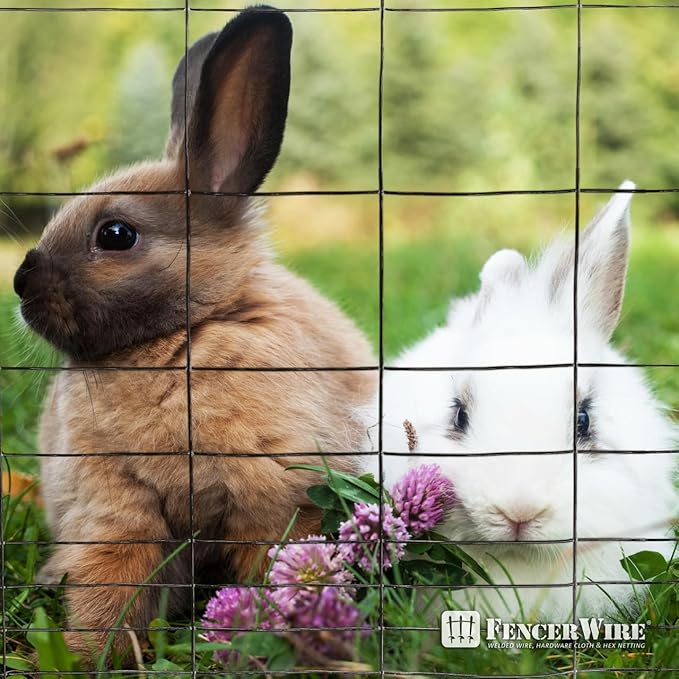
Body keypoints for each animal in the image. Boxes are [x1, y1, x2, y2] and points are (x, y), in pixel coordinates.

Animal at [12, 7, 375, 662]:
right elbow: (114, 578)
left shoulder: (274, 503)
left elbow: (271, 568)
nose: (20, 283)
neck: (178, 337)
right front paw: (93, 655)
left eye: (116, 234)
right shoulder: (114, 507)